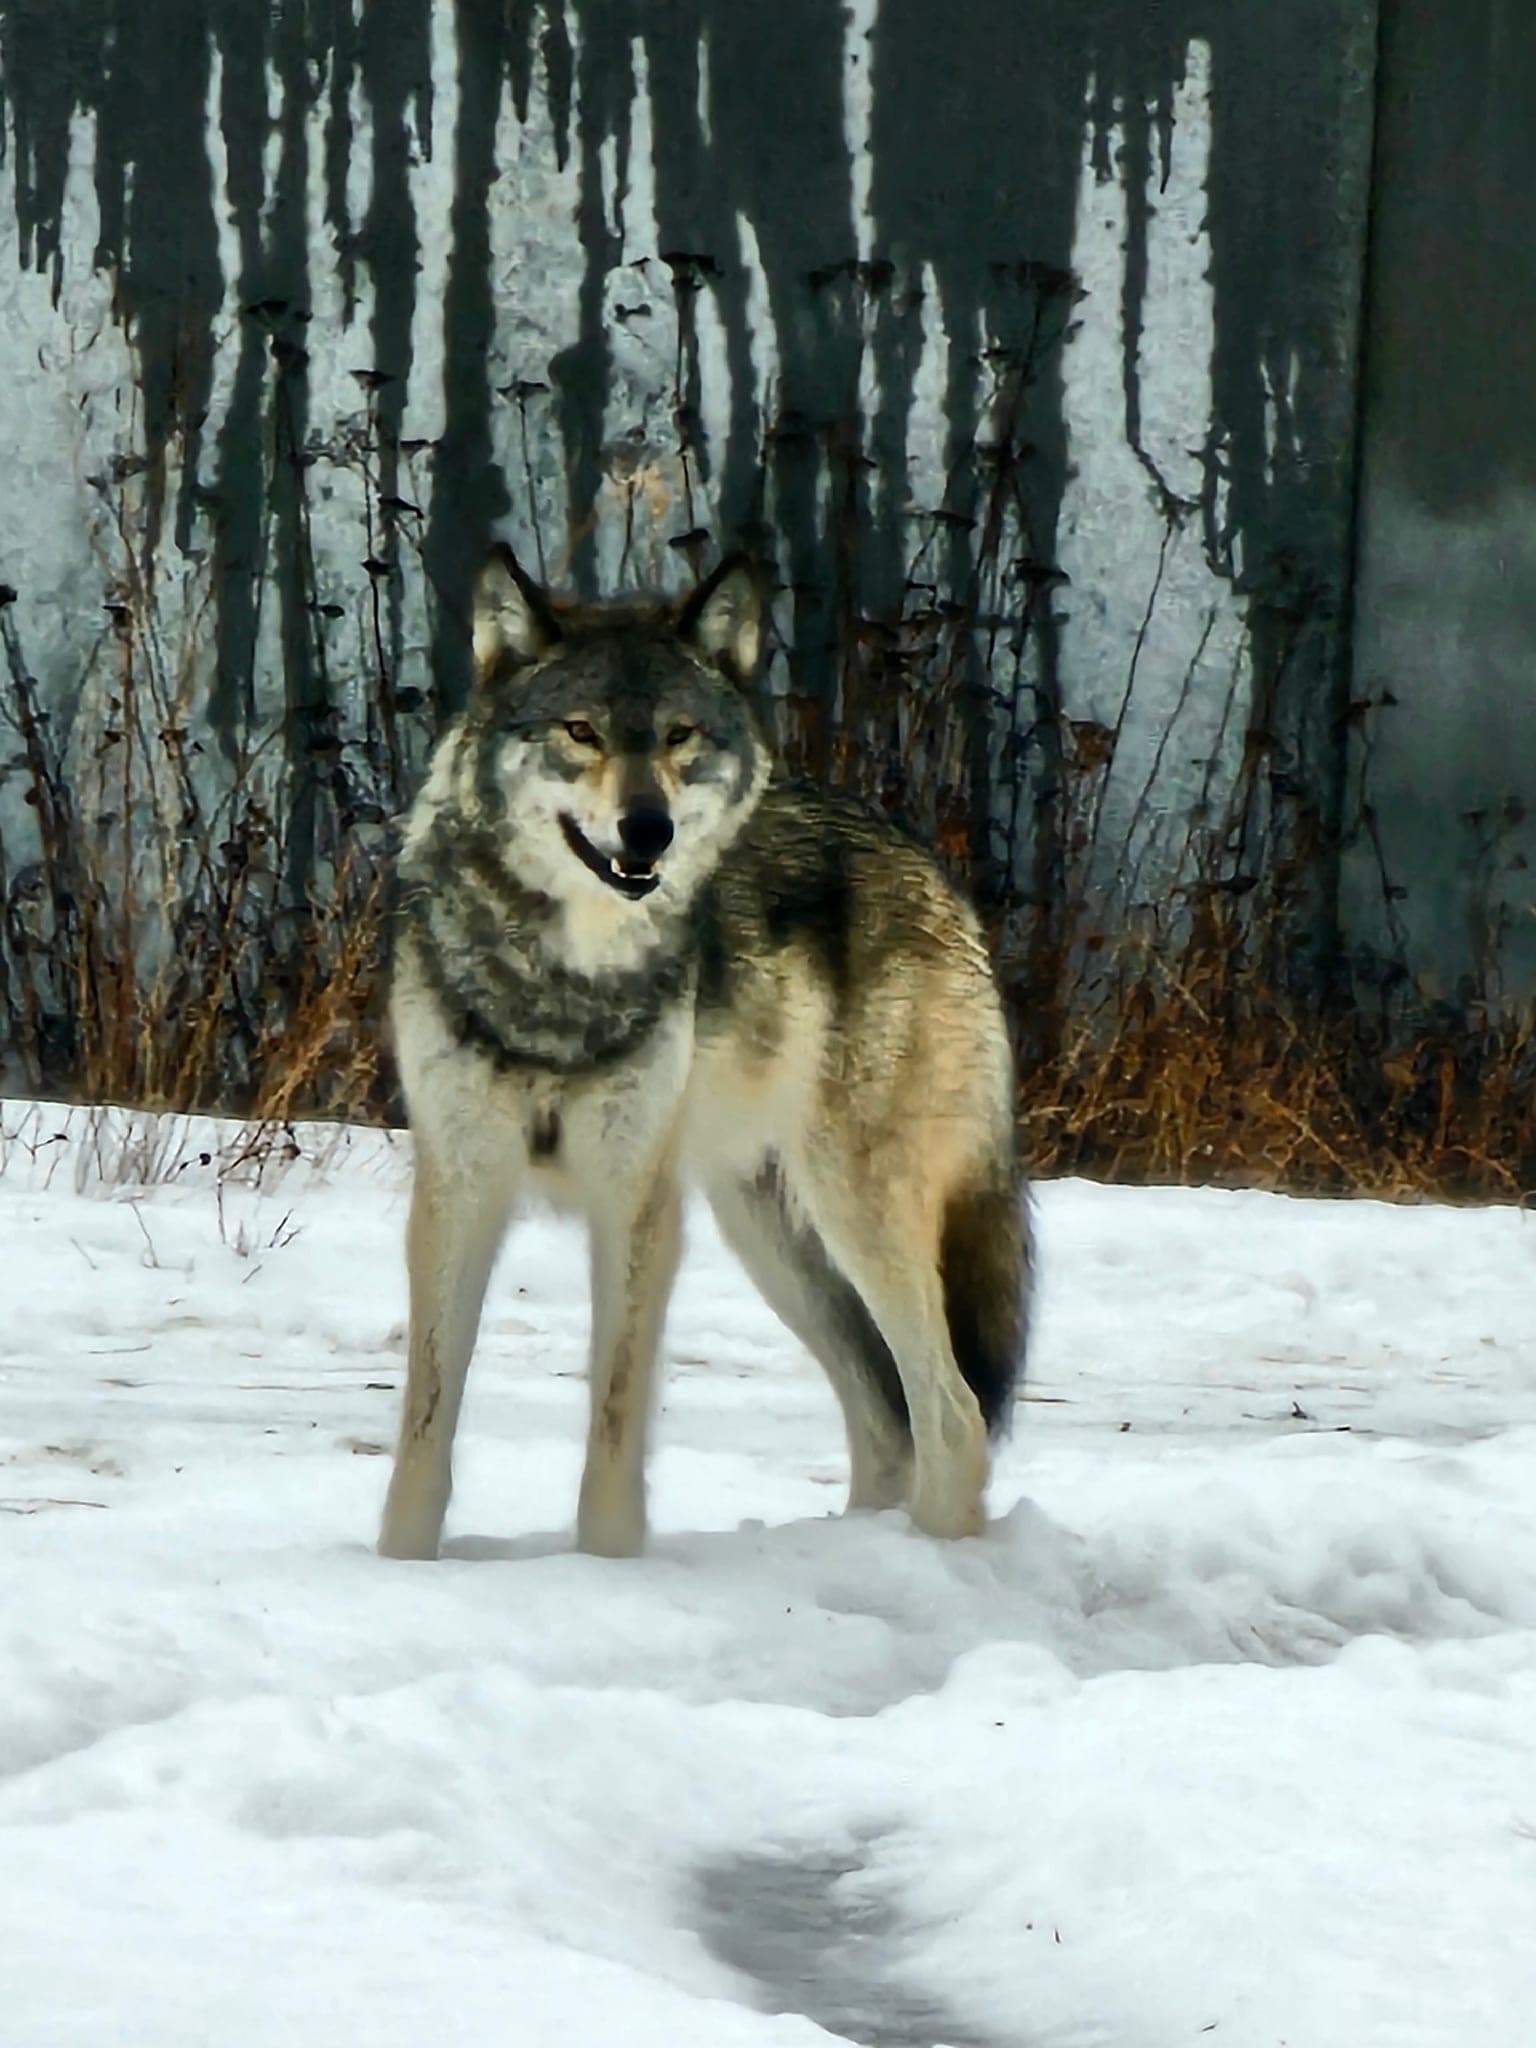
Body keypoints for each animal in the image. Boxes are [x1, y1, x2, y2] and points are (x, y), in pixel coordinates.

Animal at [377, 545, 1029, 1561]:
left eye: (681, 736)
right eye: (581, 732)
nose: (649, 830)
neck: (569, 977)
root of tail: (930, 868)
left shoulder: (635, 1199)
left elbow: (614, 1420)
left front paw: (606, 1568)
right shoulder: (460, 1185)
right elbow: (426, 1424)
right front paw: (400, 1570)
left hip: (856, 1213)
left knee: (953, 1417)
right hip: (771, 1233)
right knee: (888, 1421)